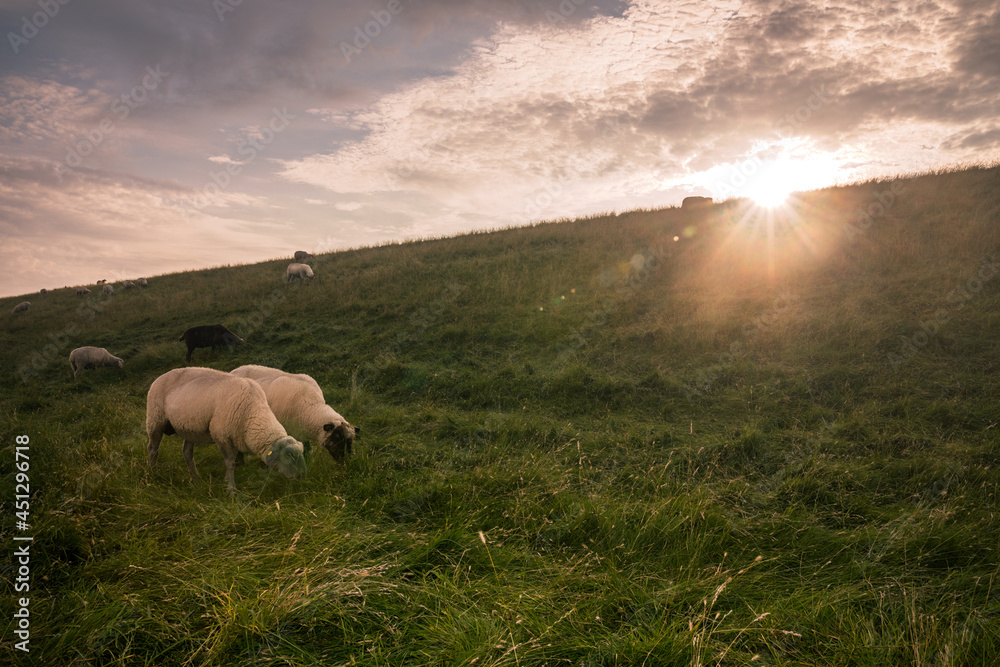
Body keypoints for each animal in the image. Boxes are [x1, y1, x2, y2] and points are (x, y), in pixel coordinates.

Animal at [146, 367, 307, 493]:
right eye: (289, 455)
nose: (301, 476)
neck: (252, 413)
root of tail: (160, 376)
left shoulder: (234, 437)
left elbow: (233, 461)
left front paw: (226, 480)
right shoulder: (221, 435)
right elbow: (230, 462)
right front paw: (231, 489)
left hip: (189, 429)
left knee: (187, 452)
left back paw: (196, 478)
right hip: (155, 419)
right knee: (153, 449)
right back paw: (154, 474)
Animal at [231, 364, 360, 461]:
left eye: (350, 442)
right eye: (336, 439)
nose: (345, 462)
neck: (309, 407)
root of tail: (234, 370)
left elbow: (306, 446)